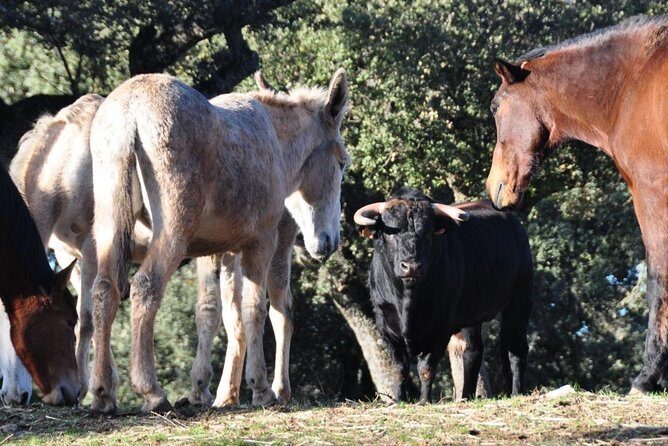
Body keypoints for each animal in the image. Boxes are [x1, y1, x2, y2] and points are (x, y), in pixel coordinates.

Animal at [89, 68, 348, 413]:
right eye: (342, 162)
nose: (328, 242)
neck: (277, 143)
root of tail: (129, 112)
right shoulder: (260, 243)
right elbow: (254, 309)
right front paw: (260, 388)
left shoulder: (218, 251)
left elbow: (218, 313)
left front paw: (217, 390)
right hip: (173, 231)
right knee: (146, 285)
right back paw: (151, 390)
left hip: (109, 228)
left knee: (104, 290)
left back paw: (103, 391)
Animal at [485, 15, 668, 392]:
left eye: (495, 108)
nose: (493, 187)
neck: (630, 85)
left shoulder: (652, 195)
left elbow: (659, 279)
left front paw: (647, 376)